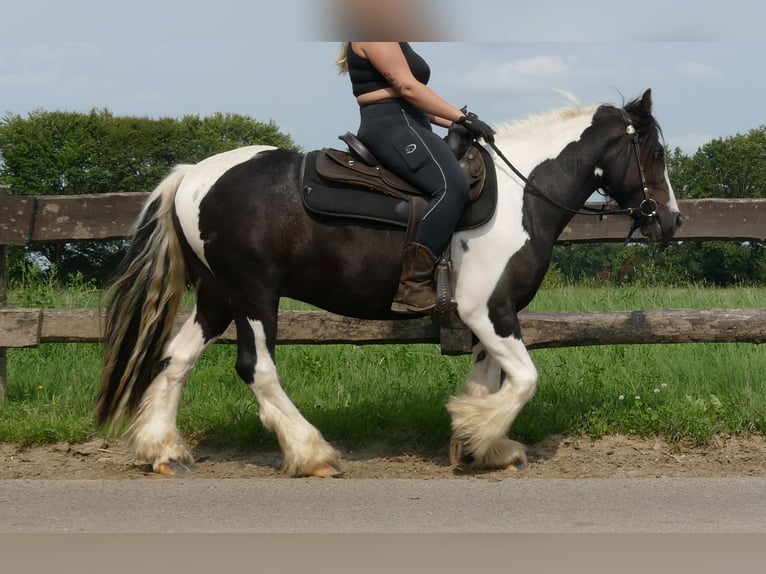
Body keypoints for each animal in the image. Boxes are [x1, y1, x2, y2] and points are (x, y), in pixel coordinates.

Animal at [94, 89, 684, 476]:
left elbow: (492, 378)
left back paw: (163, 451)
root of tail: (192, 175)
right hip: (254, 293)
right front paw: (479, 435)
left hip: (217, 296)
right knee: (256, 369)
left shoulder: (493, 314)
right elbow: (524, 380)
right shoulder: (488, 309)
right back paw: (312, 454)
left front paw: (478, 443)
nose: (672, 222)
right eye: (655, 153)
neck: (522, 196)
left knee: (176, 358)